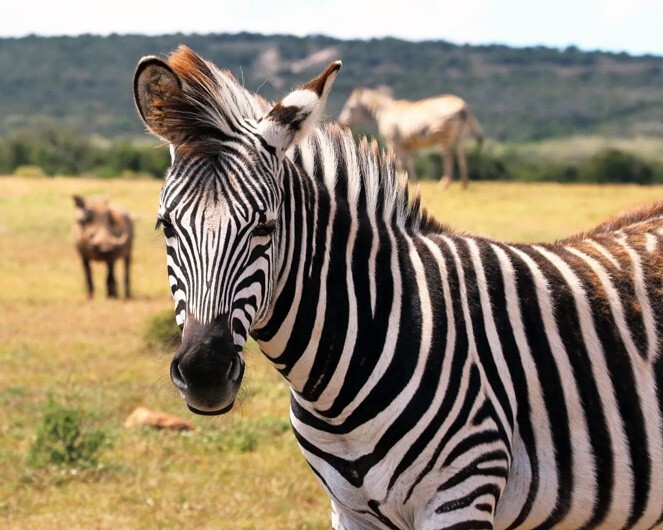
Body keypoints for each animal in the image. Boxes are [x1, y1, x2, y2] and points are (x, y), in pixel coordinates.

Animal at [338, 86, 484, 189]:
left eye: (350, 108)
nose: (340, 123)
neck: (384, 113)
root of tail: (463, 107)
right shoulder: (406, 144)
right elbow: (409, 163)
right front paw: (411, 181)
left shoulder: (393, 142)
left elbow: (398, 162)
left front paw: (397, 181)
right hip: (462, 137)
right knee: (462, 157)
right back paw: (464, 185)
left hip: (444, 137)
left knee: (449, 159)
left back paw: (444, 184)